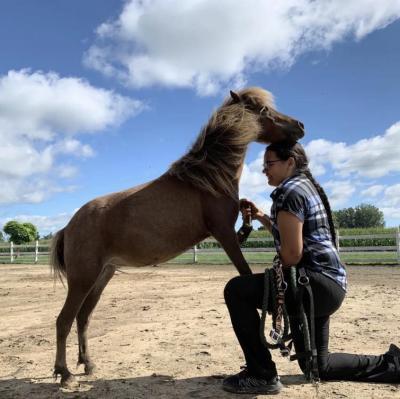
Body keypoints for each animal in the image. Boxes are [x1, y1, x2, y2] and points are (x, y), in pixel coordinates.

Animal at [51, 86, 304, 388]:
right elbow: (244, 273)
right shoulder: (224, 233)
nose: (300, 126)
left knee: (83, 318)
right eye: (264, 110)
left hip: (102, 276)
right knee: (64, 320)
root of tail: (69, 226)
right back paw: (65, 374)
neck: (207, 178)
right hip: (83, 279)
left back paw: (88, 364)